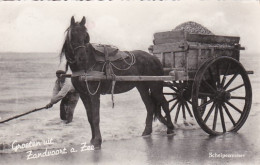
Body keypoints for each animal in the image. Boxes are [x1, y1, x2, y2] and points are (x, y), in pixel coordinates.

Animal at [60, 16, 175, 149]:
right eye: (73, 35)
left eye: (85, 36)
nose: (82, 58)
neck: (87, 65)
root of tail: (154, 58)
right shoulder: (84, 94)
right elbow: (90, 117)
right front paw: (93, 140)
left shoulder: (94, 94)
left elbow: (95, 117)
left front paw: (97, 141)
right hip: (142, 87)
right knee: (150, 106)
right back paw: (147, 131)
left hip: (156, 86)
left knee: (165, 104)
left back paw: (170, 128)